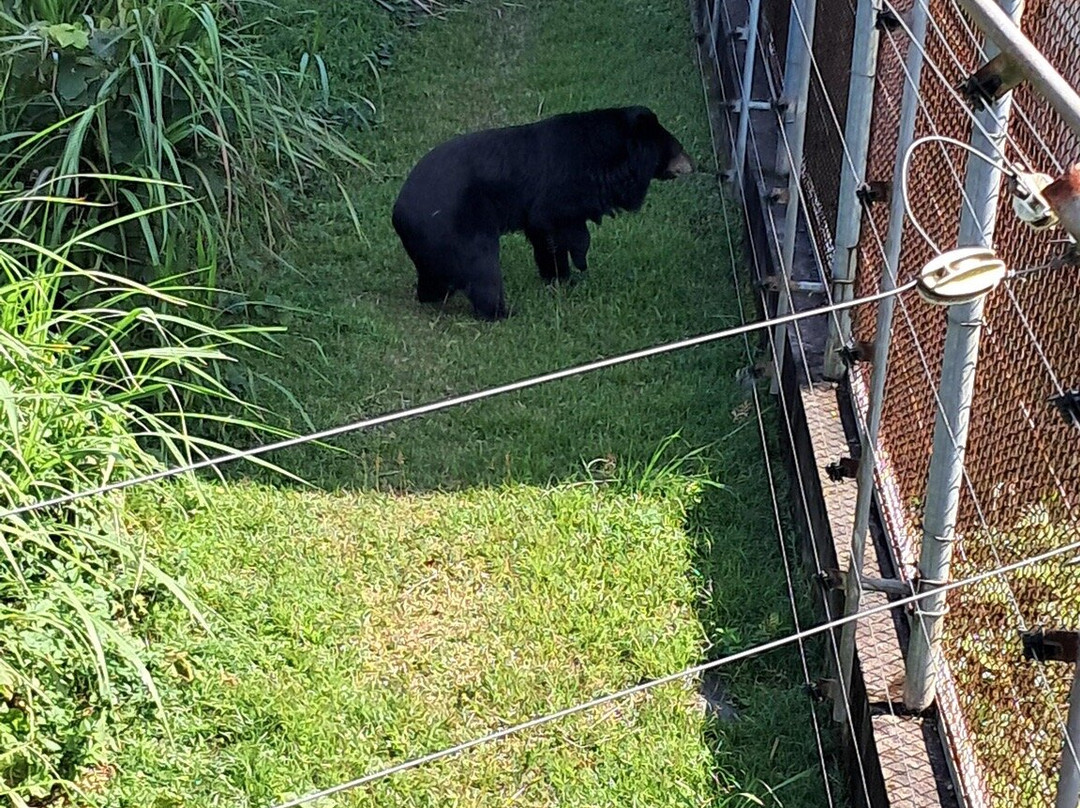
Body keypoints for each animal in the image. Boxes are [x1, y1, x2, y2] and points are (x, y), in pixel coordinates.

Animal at [391, 106, 694, 321]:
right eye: (678, 149)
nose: (693, 165)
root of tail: (398, 213)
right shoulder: (563, 191)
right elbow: (563, 227)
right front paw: (575, 270)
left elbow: (543, 235)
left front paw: (556, 277)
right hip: (460, 227)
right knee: (482, 268)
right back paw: (502, 312)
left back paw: (433, 295)